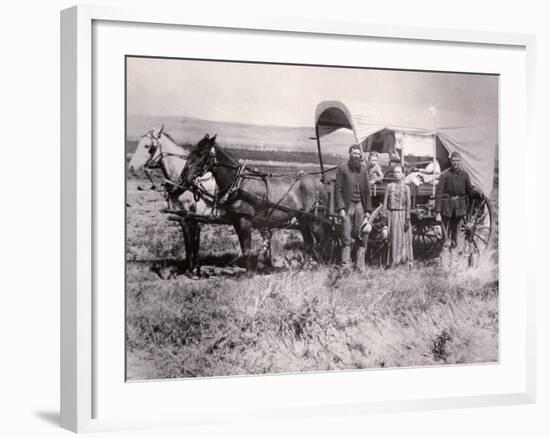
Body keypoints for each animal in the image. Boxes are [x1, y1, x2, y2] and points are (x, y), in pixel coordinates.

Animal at [128, 126, 217, 276]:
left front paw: (196, 269)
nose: (131, 167)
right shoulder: (182, 216)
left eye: (148, 146)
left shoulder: (196, 216)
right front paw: (188, 268)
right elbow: (188, 242)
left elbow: (195, 241)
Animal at [181, 132, 330, 272]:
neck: (238, 184)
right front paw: (249, 270)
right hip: (302, 219)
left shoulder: (245, 221)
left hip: (316, 220)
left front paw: (249, 273)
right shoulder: (236, 222)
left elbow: (247, 249)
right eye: (192, 151)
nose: (184, 176)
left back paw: (326, 267)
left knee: (323, 241)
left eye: (202, 152)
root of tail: (319, 182)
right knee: (309, 243)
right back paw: (302, 270)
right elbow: (244, 248)